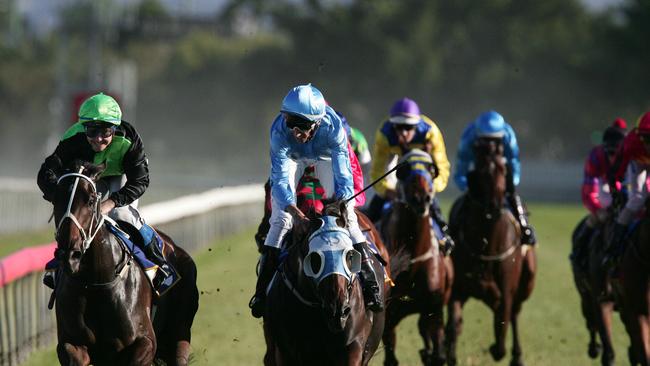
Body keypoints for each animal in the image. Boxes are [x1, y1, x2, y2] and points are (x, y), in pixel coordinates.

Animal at [51, 162, 197, 366]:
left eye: (90, 201)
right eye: (55, 199)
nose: (69, 255)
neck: (95, 283)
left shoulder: (146, 341)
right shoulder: (71, 344)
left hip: (179, 331)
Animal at [380, 149, 450, 366]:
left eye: (431, 169)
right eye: (404, 169)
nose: (421, 198)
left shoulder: (434, 309)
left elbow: (439, 354)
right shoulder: (389, 317)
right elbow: (390, 357)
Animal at [442, 138, 536, 366]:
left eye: (504, 169)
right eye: (481, 169)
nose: (494, 205)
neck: (487, 244)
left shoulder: (507, 289)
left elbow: (503, 325)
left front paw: (497, 348)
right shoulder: (458, 289)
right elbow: (454, 326)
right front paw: (450, 353)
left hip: (526, 281)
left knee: (514, 315)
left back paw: (517, 356)